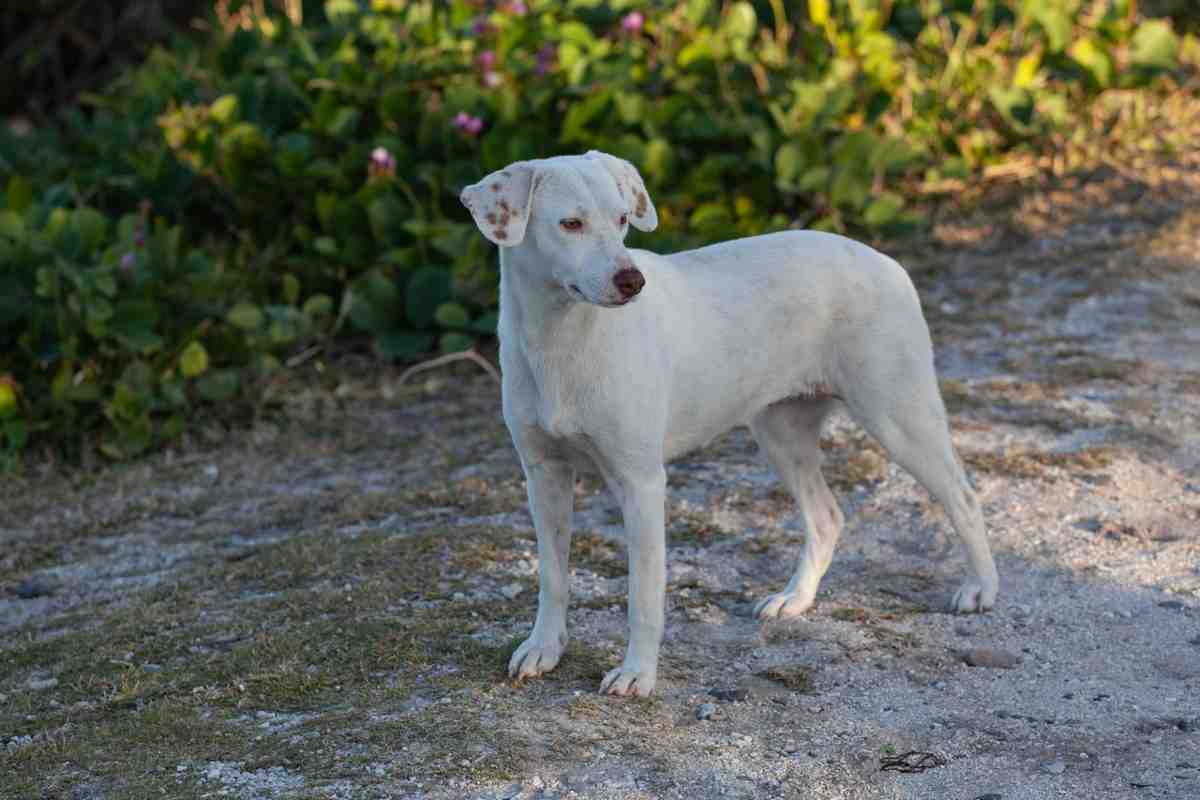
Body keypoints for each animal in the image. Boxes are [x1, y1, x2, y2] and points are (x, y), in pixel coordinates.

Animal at [458, 153, 993, 695]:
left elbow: (643, 595)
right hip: (782, 434)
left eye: (622, 219)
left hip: (898, 416)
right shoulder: (543, 476)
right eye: (570, 224)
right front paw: (544, 648)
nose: (632, 281)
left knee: (963, 498)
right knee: (826, 517)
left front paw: (637, 674)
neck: (562, 341)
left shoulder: (640, 483)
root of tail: (887, 263)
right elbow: (553, 578)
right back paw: (795, 599)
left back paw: (979, 590)